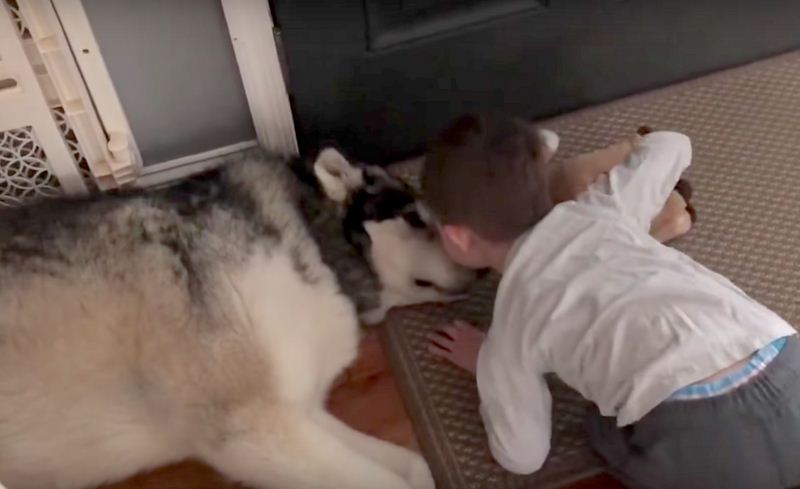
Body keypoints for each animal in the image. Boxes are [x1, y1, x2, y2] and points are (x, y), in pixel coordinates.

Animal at [0, 148, 476, 488]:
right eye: (415, 218)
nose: (485, 267)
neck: (319, 248)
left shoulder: (301, 413)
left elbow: (414, 467)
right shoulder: (255, 429)